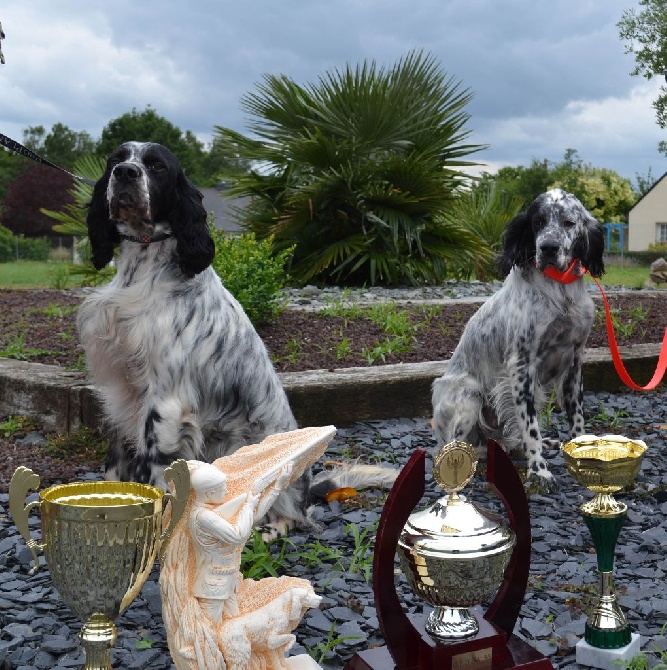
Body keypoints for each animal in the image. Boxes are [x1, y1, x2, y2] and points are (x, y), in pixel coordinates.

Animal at [77, 140, 396, 536]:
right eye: (116, 161)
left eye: (156, 166)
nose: (126, 174)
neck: (146, 269)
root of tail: (307, 489)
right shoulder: (122, 389)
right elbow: (117, 463)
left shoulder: (165, 401)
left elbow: (154, 470)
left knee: (286, 515)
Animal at [434, 189, 604, 488]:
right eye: (538, 222)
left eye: (569, 222)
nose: (548, 247)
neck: (559, 292)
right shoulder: (521, 366)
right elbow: (530, 426)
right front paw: (539, 471)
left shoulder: (574, 360)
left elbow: (576, 415)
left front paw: (579, 451)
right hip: (469, 393)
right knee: (457, 445)